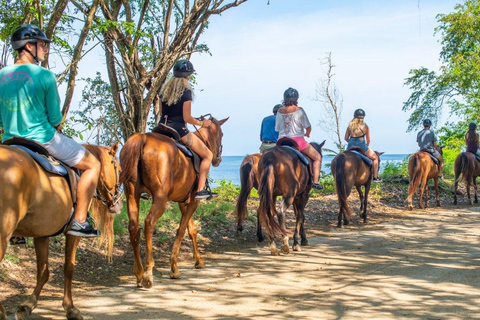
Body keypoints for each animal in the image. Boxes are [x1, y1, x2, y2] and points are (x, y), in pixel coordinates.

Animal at [0, 142, 122, 320]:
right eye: (119, 170)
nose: (118, 203)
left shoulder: (42, 234)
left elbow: (43, 271)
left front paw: (28, 305)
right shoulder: (72, 235)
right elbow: (69, 268)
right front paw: (70, 309)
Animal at [118, 117, 227, 288]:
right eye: (221, 134)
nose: (217, 159)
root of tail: (143, 138)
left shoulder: (183, 201)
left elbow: (191, 230)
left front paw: (198, 261)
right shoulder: (193, 201)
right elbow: (181, 230)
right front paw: (174, 267)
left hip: (132, 194)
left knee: (134, 228)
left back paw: (139, 273)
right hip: (160, 198)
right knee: (149, 223)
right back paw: (148, 273)